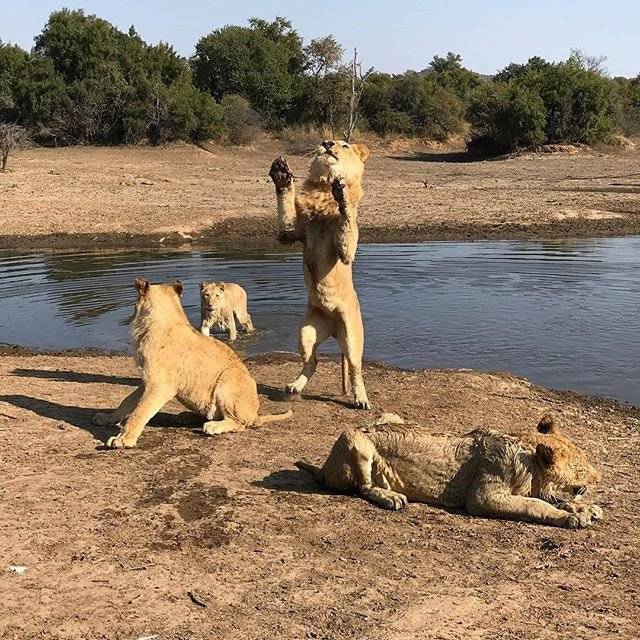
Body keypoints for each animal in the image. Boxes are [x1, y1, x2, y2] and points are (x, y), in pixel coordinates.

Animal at [95, 278, 292, 448]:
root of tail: (256, 415)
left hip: (228, 378)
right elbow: (127, 402)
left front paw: (124, 439)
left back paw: (213, 427)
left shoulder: (160, 385)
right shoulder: (147, 381)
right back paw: (186, 416)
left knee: (240, 423)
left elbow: (139, 412)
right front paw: (106, 418)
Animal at [268, 141, 370, 410]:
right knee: (313, 362)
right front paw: (281, 175)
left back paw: (361, 399)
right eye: (325, 139)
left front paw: (342, 192)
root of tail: (334, 331)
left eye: (344, 144)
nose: (327, 144)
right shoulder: (290, 233)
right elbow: (285, 207)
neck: (322, 188)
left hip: (352, 337)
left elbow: (347, 221)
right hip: (306, 332)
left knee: (356, 369)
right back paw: (294, 386)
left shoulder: (345, 251)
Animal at [296, 416, 604, 524]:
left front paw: (585, 508)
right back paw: (390, 497)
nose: (599, 477)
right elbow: (534, 505)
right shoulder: (483, 497)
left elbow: (553, 498)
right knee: (363, 486)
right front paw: (570, 517)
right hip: (354, 439)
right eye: (580, 465)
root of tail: (325, 467)